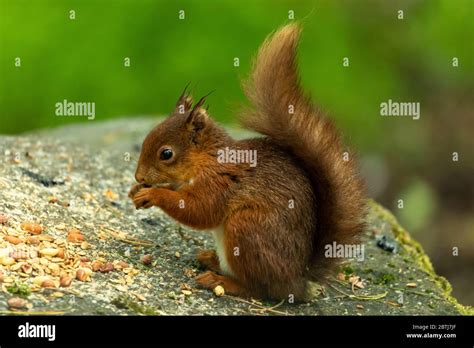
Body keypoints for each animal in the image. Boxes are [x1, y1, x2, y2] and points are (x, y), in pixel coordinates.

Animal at [128, 23, 364, 302]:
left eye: (166, 154)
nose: (139, 177)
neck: (207, 158)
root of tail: (299, 279)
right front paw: (136, 191)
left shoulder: (221, 182)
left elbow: (199, 210)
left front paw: (153, 194)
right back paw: (210, 259)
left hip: (246, 229)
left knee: (259, 288)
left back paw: (221, 281)